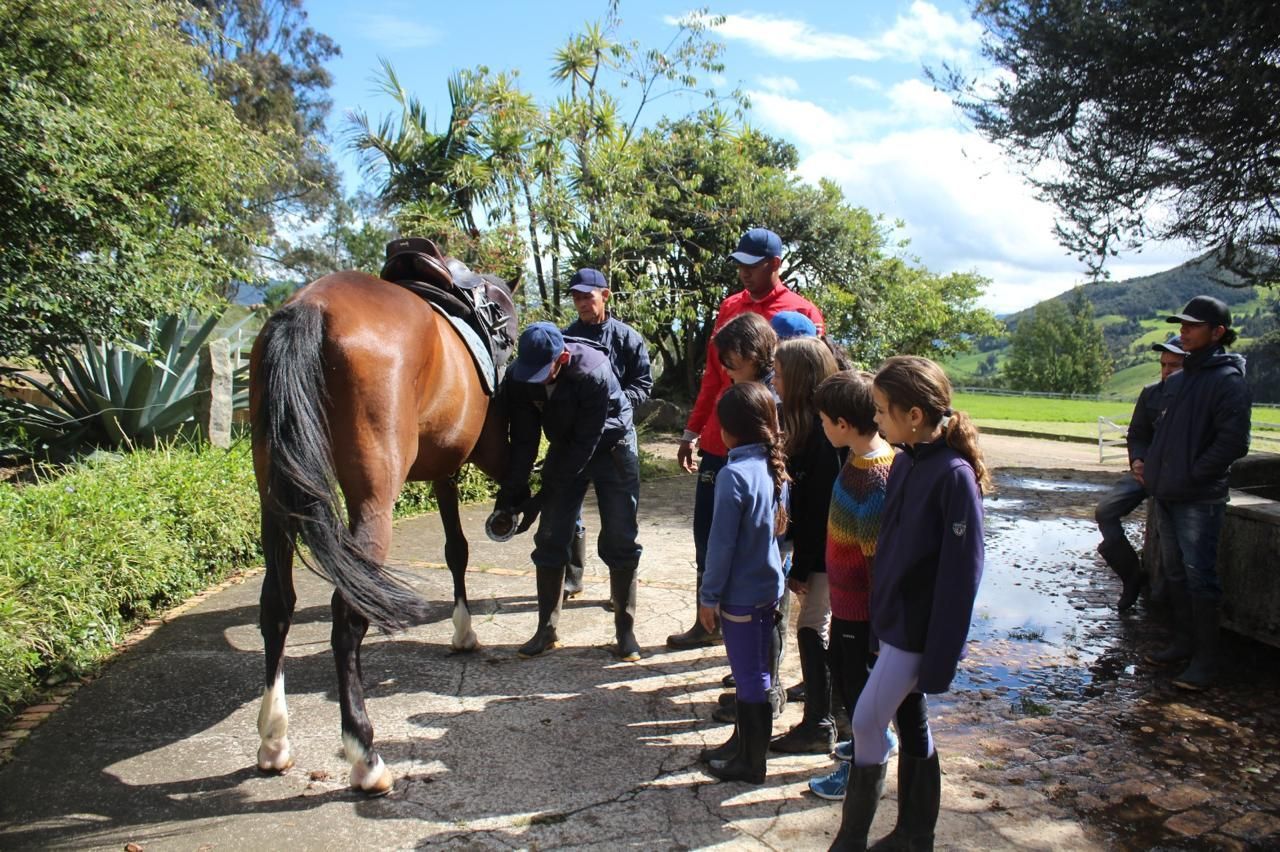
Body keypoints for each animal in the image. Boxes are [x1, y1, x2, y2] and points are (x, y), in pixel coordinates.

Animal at [248, 261, 518, 795]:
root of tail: (310, 307)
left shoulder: (442, 469)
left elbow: (455, 549)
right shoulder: (483, 454)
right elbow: (467, 541)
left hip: (276, 497)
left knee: (277, 605)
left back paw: (274, 740)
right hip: (373, 500)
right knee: (347, 615)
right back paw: (365, 754)